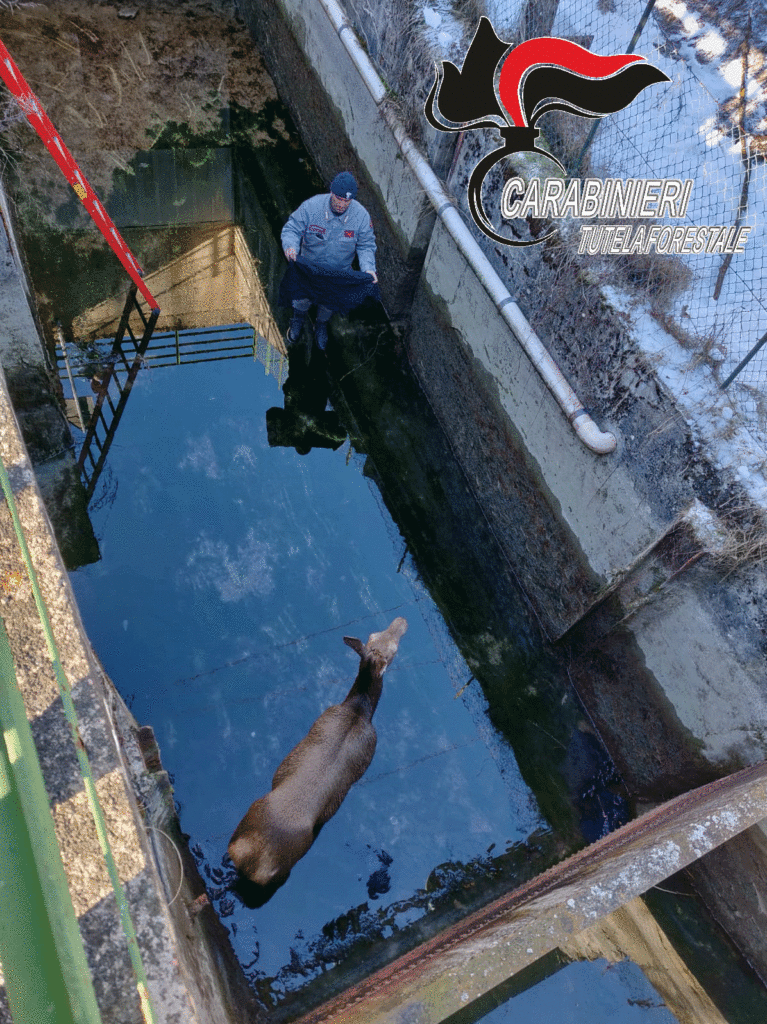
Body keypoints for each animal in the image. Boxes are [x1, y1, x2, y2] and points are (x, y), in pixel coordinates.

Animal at [227, 614, 407, 897]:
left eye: (375, 634)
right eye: (392, 648)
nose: (401, 621)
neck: (360, 707)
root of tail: (251, 859)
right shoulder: (370, 751)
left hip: (244, 821)